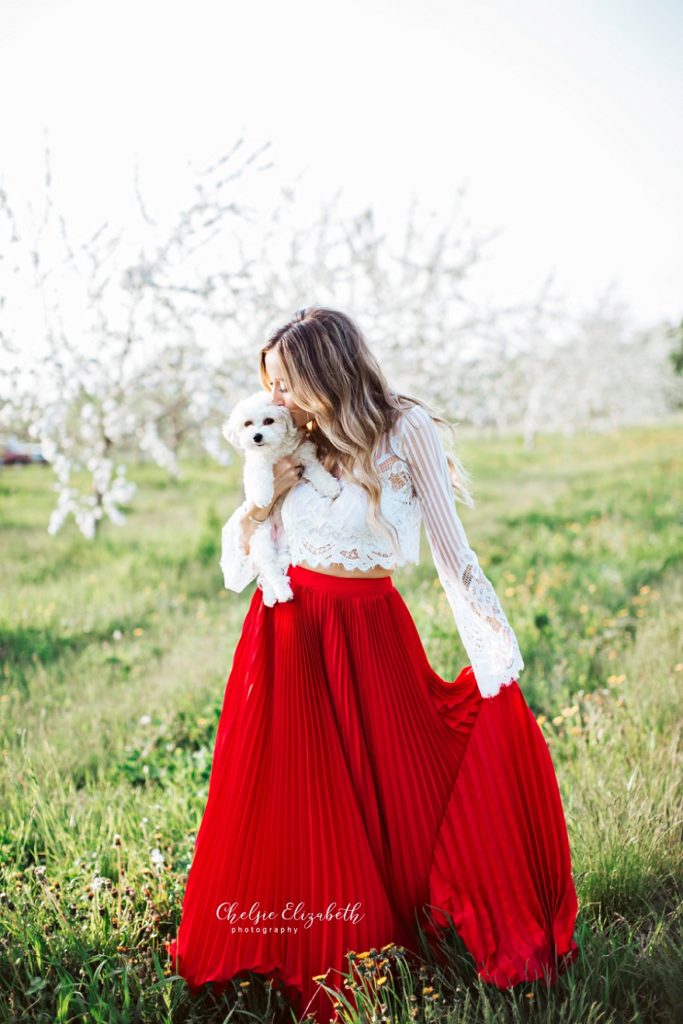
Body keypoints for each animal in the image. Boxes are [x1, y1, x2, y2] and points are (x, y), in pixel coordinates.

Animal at [224, 387, 342, 602]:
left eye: (269, 421)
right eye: (247, 424)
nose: (257, 437)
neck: (276, 449)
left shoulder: (304, 458)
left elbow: (318, 472)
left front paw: (330, 487)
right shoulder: (257, 464)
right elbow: (261, 476)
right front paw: (263, 496)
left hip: (287, 544)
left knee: (278, 567)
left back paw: (276, 593)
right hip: (262, 542)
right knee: (271, 571)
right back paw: (281, 592)